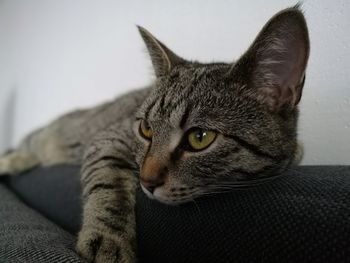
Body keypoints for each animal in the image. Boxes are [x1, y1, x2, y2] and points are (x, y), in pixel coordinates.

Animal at [0, 5, 308, 263]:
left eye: (200, 137)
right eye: (146, 129)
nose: (146, 182)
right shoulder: (108, 138)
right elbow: (107, 183)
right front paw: (108, 238)